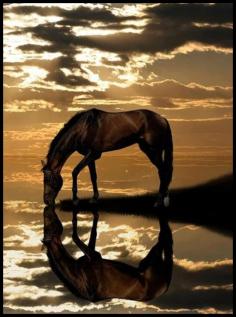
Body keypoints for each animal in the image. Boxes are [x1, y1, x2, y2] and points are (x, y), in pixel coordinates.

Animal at [41, 108, 172, 206]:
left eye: (48, 180)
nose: (46, 201)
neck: (84, 128)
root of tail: (163, 119)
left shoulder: (94, 154)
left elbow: (75, 171)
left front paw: (75, 200)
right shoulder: (90, 156)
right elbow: (93, 176)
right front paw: (94, 198)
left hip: (153, 150)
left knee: (163, 171)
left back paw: (159, 201)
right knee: (164, 171)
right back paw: (164, 199)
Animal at [42, 205, 173, 302]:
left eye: (51, 222)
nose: (47, 209)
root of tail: (166, 286)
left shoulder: (94, 256)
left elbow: (87, 234)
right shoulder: (94, 256)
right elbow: (77, 236)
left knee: (164, 236)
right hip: (151, 260)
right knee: (164, 237)